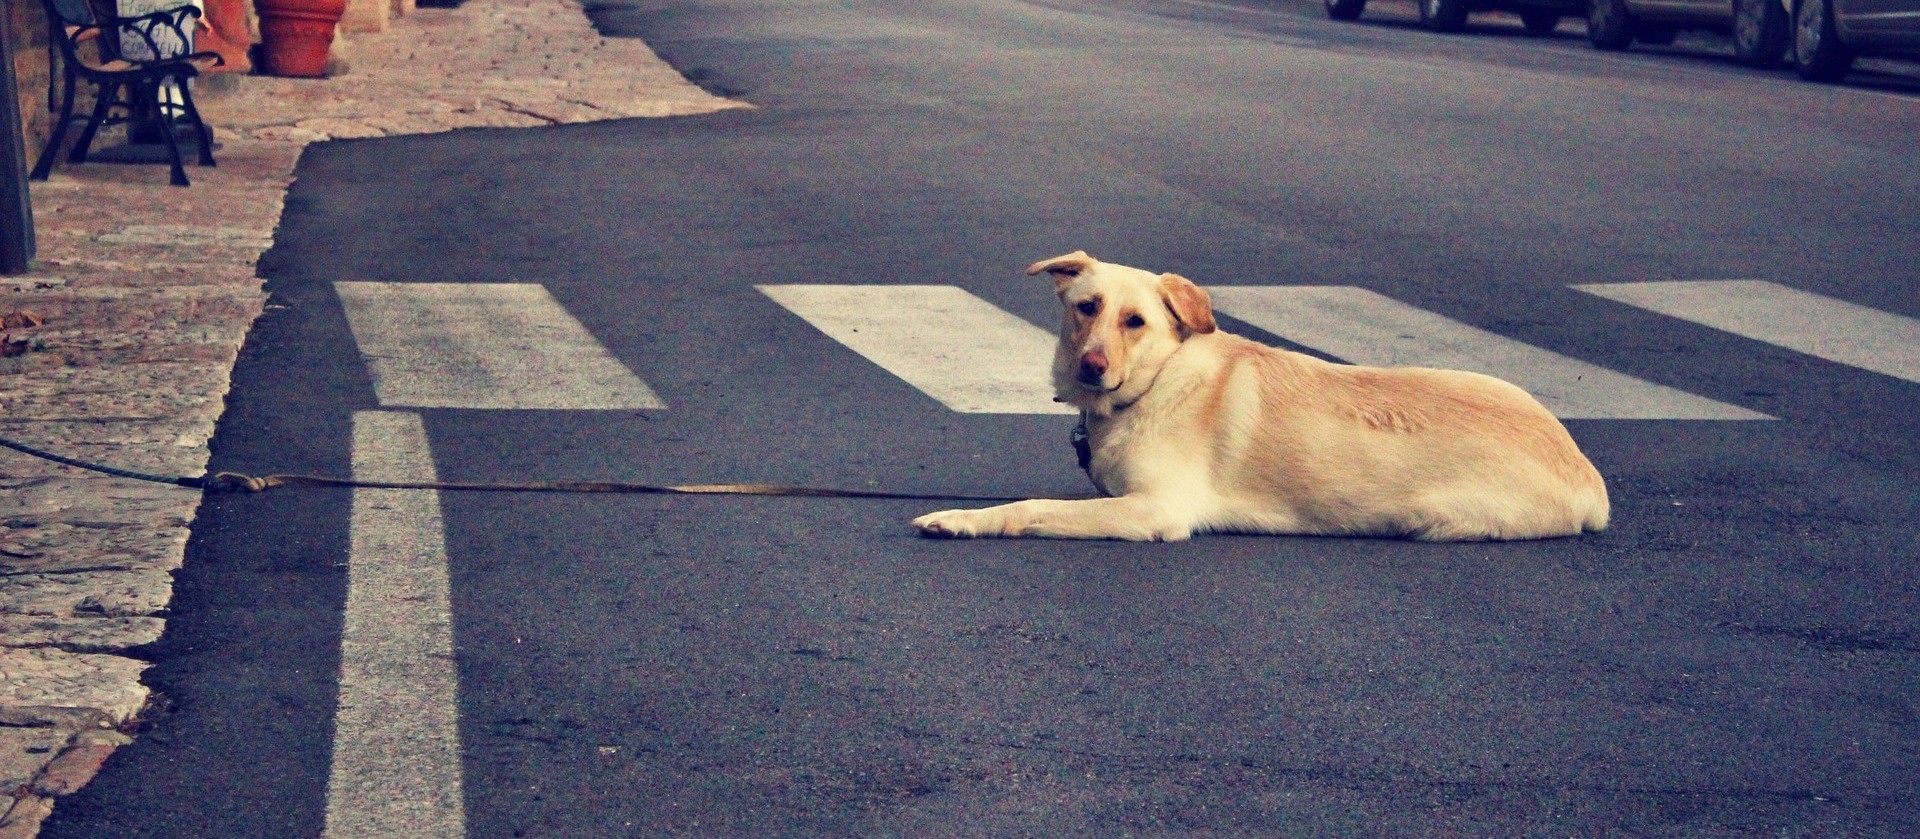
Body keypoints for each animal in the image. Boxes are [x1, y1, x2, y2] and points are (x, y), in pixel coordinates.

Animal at [910, 247, 1605, 541]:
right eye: (1087, 308)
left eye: (1135, 321)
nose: (1091, 366)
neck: (1158, 383)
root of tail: (1584, 469)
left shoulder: (1155, 510)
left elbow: (1031, 506)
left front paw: (961, 520)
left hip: (1443, 517)